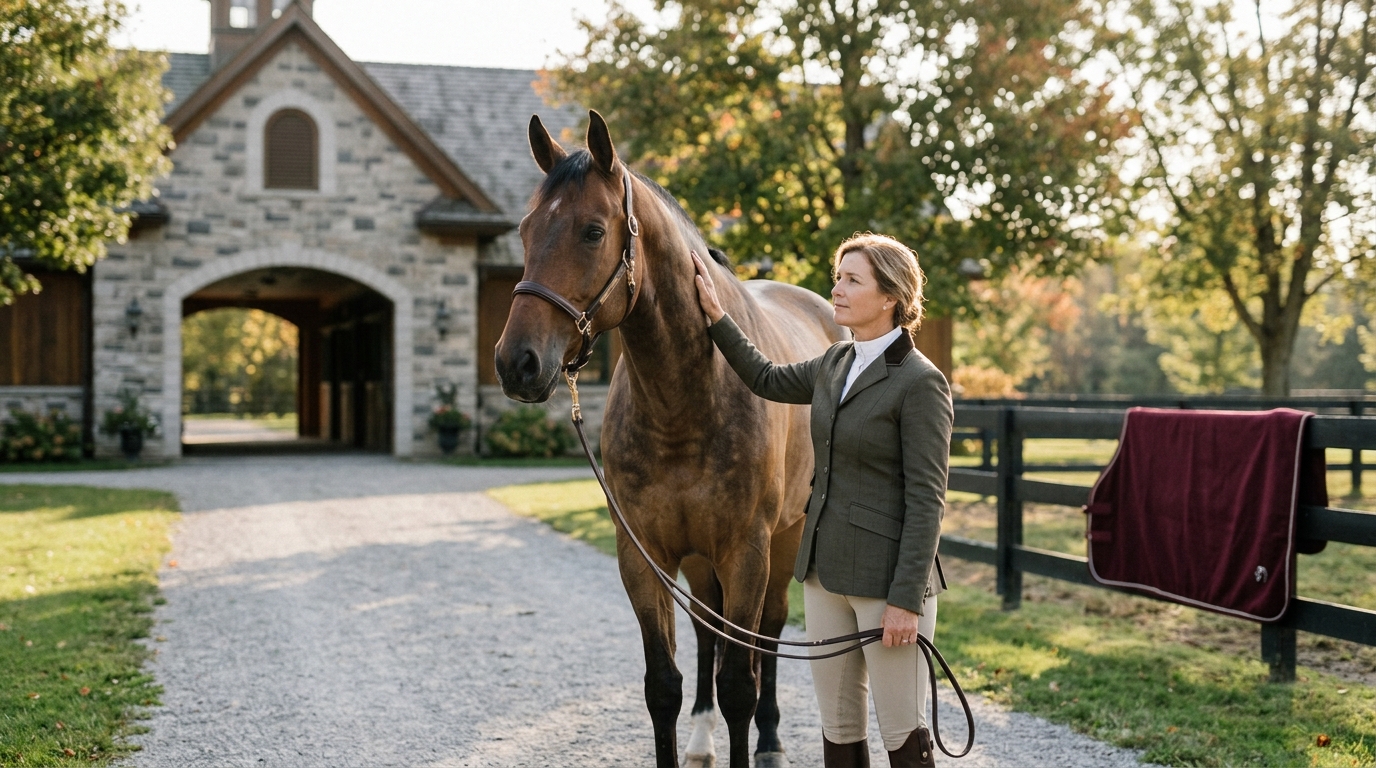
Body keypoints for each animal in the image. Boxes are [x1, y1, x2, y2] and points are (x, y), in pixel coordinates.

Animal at [495, 110, 845, 768]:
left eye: (592, 231)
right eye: (526, 230)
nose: (516, 363)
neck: (683, 404)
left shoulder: (747, 550)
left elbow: (740, 682)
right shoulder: (643, 553)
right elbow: (664, 685)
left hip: (785, 538)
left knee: (769, 633)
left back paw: (771, 741)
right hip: (701, 558)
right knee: (710, 633)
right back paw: (704, 737)